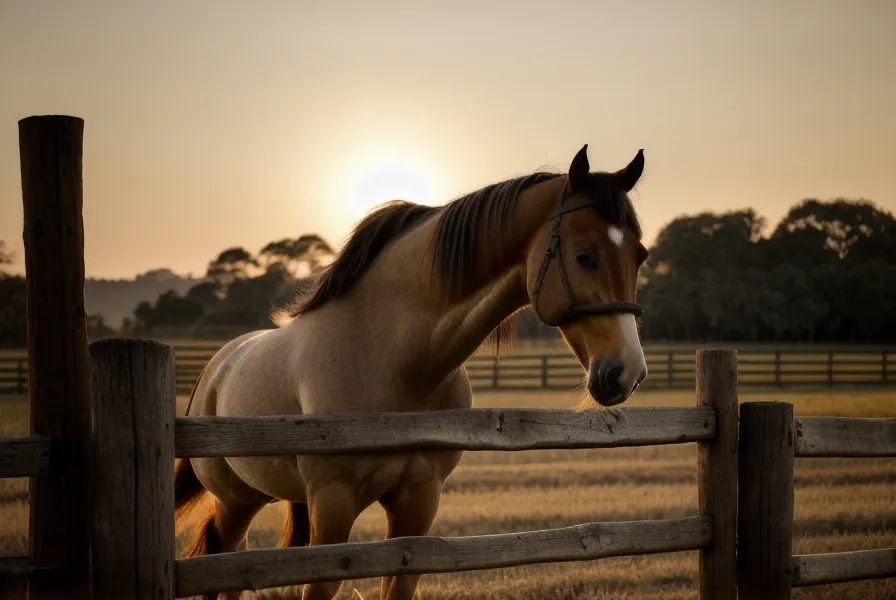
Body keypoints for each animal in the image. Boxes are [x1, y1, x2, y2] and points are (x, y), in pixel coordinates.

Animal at [174, 144, 650, 600]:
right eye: (584, 256)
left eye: (640, 256)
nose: (626, 371)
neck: (391, 359)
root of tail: (213, 371)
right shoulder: (334, 502)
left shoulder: (418, 504)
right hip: (235, 502)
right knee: (223, 570)